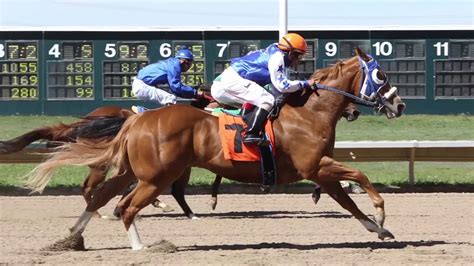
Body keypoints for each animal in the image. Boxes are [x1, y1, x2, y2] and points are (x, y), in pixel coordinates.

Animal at [26, 47, 404, 249]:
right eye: (381, 75)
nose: (399, 105)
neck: (309, 112)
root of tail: (136, 120)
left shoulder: (320, 169)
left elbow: (346, 200)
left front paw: (379, 229)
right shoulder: (316, 165)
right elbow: (360, 176)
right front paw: (381, 212)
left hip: (135, 171)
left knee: (103, 197)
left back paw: (73, 237)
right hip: (155, 177)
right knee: (125, 206)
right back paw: (140, 246)